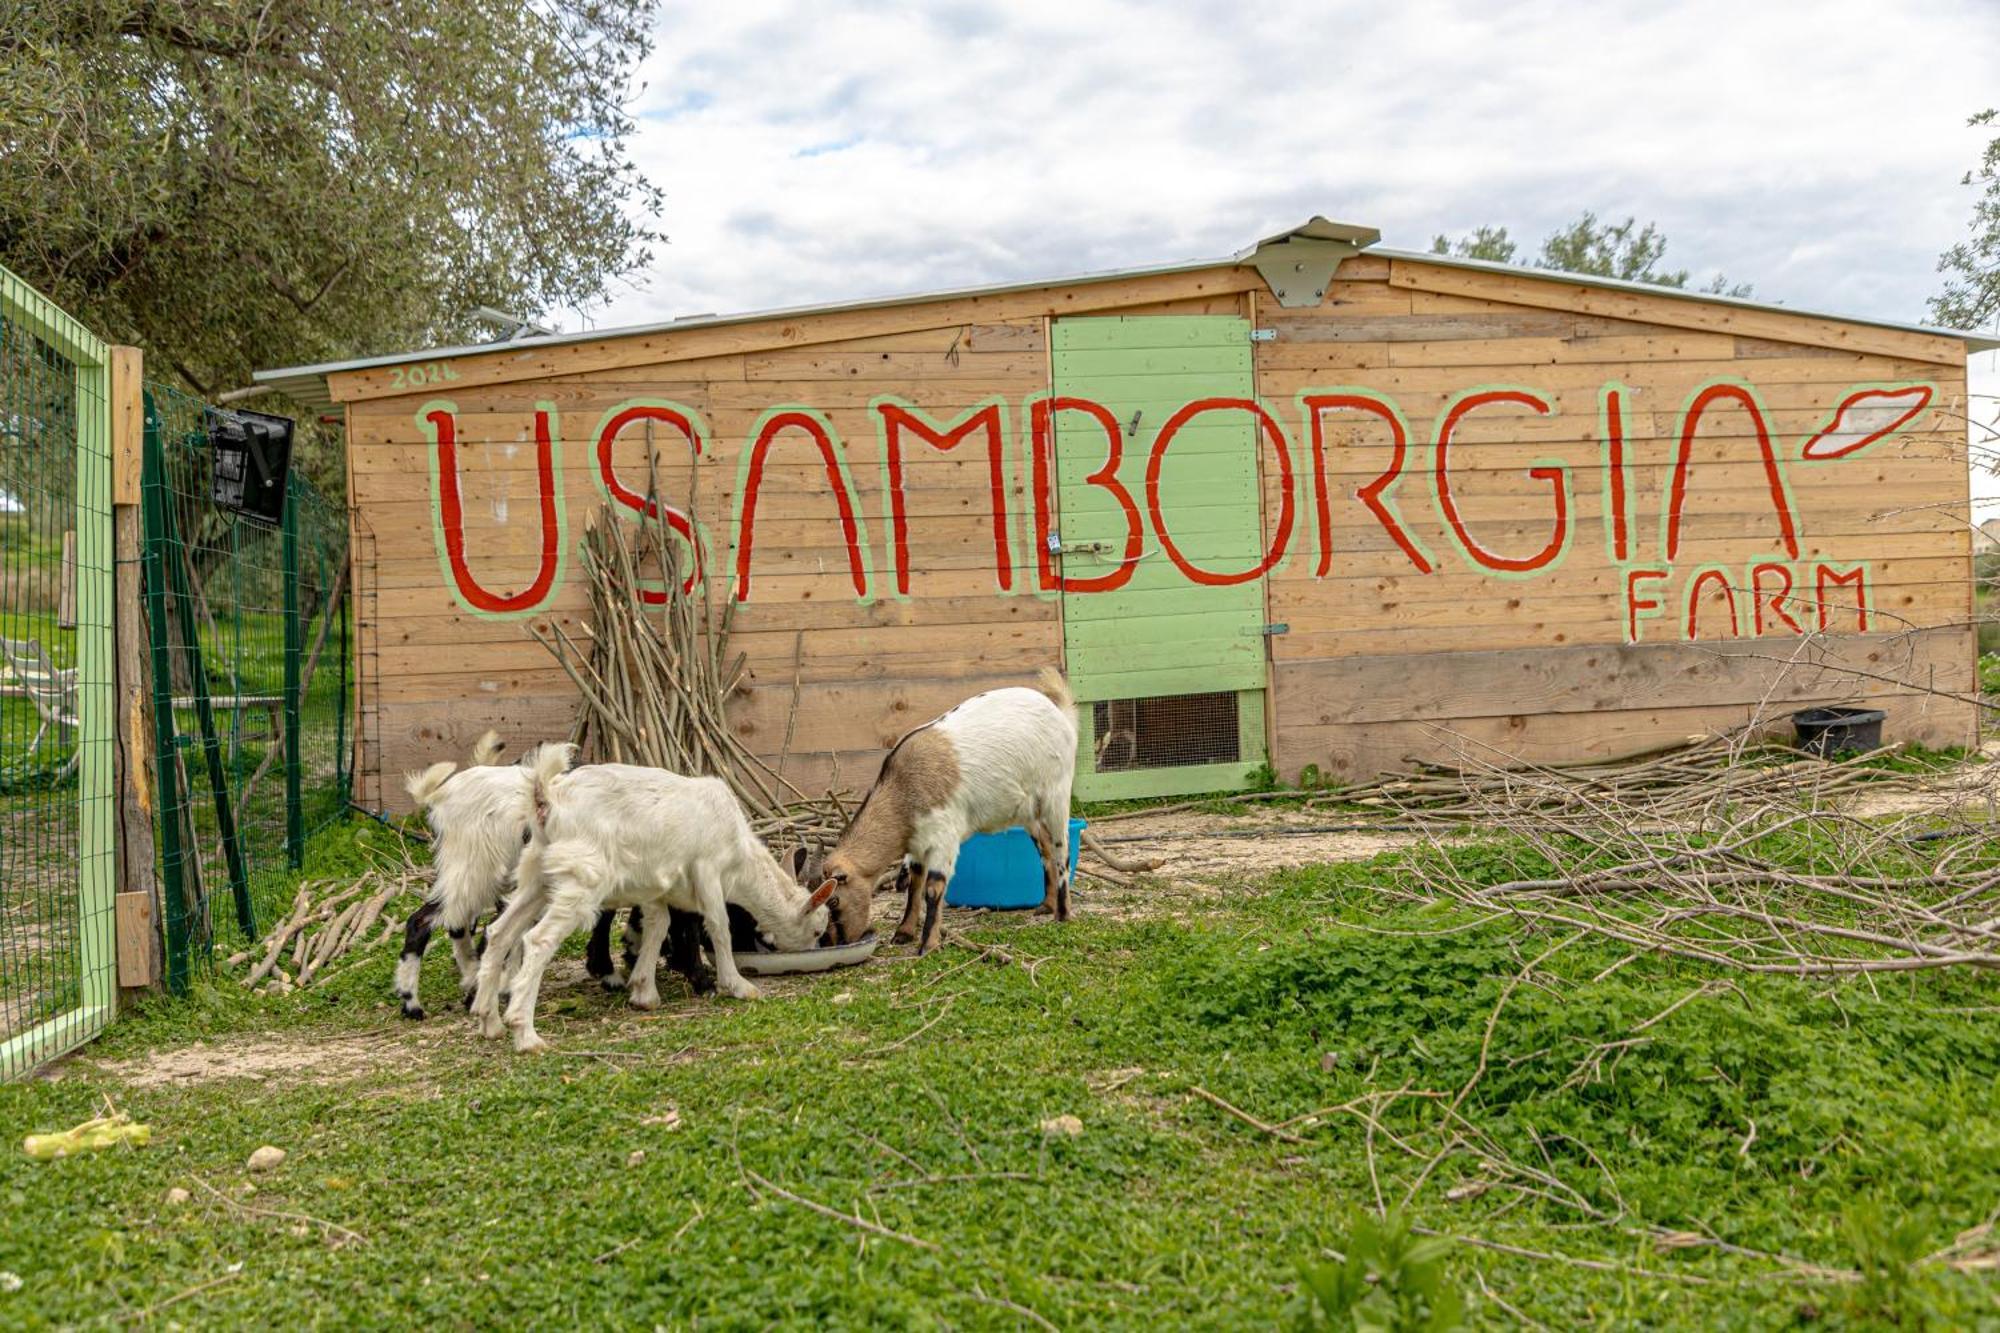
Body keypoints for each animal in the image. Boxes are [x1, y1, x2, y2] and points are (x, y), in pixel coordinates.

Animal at [470, 748, 836, 1048]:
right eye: (817, 929)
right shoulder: (707, 869)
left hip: (537, 873)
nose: (815, 950)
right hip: (582, 877)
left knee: (500, 931)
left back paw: (490, 1022)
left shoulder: (657, 888)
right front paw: (736, 985)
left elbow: (658, 926)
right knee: (538, 939)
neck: (741, 855)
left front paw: (644, 992)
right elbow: (718, 926)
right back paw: (525, 1034)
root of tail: (547, 799)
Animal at [816, 668, 1080, 948]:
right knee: (1044, 849)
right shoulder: (919, 843)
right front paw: (904, 932)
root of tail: (1060, 712)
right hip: (1028, 811)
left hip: (1056, 795)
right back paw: (1047, 905)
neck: (903, 791)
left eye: (834, 899)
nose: (831, 941)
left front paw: (927, 945)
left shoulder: (943, 837)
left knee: (1061, 850)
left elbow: (933, 887)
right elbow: (915, 883)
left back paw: (1063, 914)